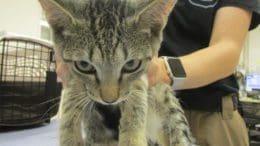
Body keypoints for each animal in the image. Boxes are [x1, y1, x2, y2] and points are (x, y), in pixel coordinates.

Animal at [39, 0, 195, 145]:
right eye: (84, 65)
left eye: (131, 64)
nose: (109, 100)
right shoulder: (68, 70)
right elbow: (72, 93)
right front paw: (69, 136)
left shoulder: (146, 72)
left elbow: (137, 91)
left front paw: (132, 137)